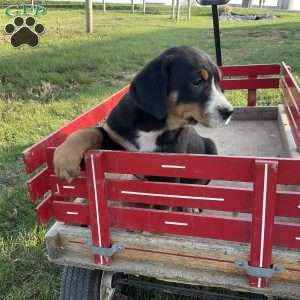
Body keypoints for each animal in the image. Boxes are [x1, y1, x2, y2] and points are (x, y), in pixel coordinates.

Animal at [54, 46, 233, 186]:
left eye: (219, 82)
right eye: (197, 81)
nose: (229, 112)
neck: (155, 124)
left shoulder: (168, 172)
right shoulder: (118, 144)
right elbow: (91, 131)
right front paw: (65, 158)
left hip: (211, 148)